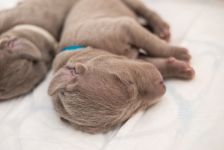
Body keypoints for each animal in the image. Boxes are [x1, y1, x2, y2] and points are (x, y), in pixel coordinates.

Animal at [48, 0, 194, 134]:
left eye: (128, 82)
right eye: (132, 113)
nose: (162, 84)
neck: (82, 46)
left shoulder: (125, 27)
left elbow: (154, 45)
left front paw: (181, 53)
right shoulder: (137, 58)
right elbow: (157, 64)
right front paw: (181, 68)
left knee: (144, 10)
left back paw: (161, 28)